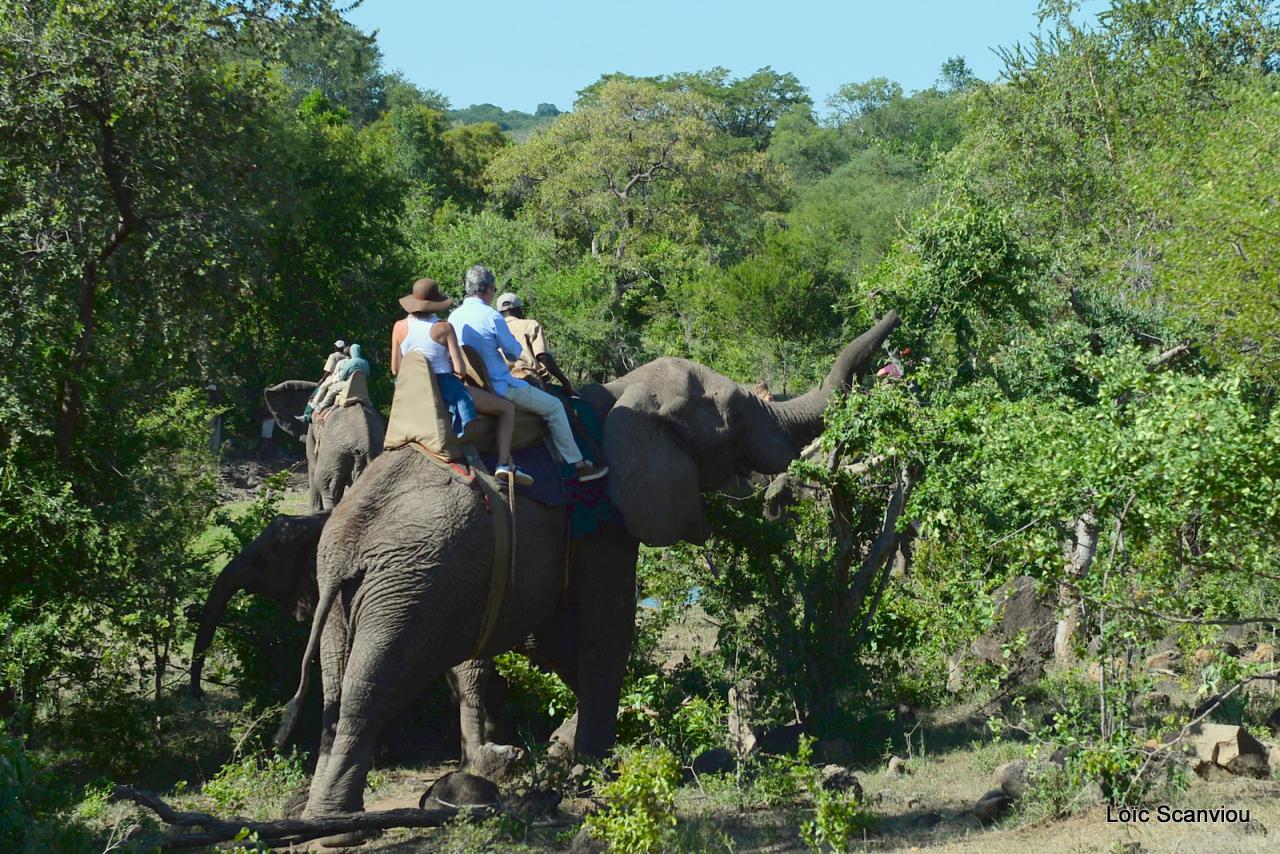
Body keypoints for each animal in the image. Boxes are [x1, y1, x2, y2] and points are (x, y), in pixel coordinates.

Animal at [280, 308, 901, 819]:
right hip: (406, 587)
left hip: (350, 597)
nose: (890, 320)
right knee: (372, 686)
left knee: (336, 687)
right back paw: (335, 822)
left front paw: (567, 748)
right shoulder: (601, 518)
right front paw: (594, 767)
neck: (618, 398)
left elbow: (560, 640)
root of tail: (345, 550)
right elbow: (603, 631)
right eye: (736, 421)